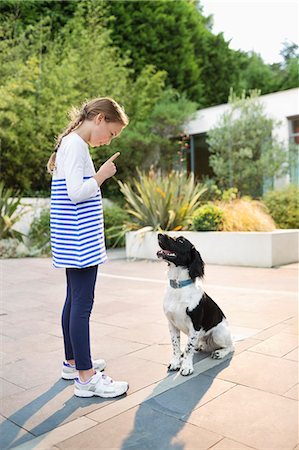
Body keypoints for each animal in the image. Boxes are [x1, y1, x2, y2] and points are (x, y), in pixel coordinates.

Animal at [157, 234, 234, 374]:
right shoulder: (171, 324)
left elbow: (189, 348)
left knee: (231, 346)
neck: (178, 287)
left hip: (219, 334)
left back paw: (220, 353)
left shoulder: (195, 325)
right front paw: (176, 362)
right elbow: (175, 345)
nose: (160, 234)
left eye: (181, 240)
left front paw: (187, 367)